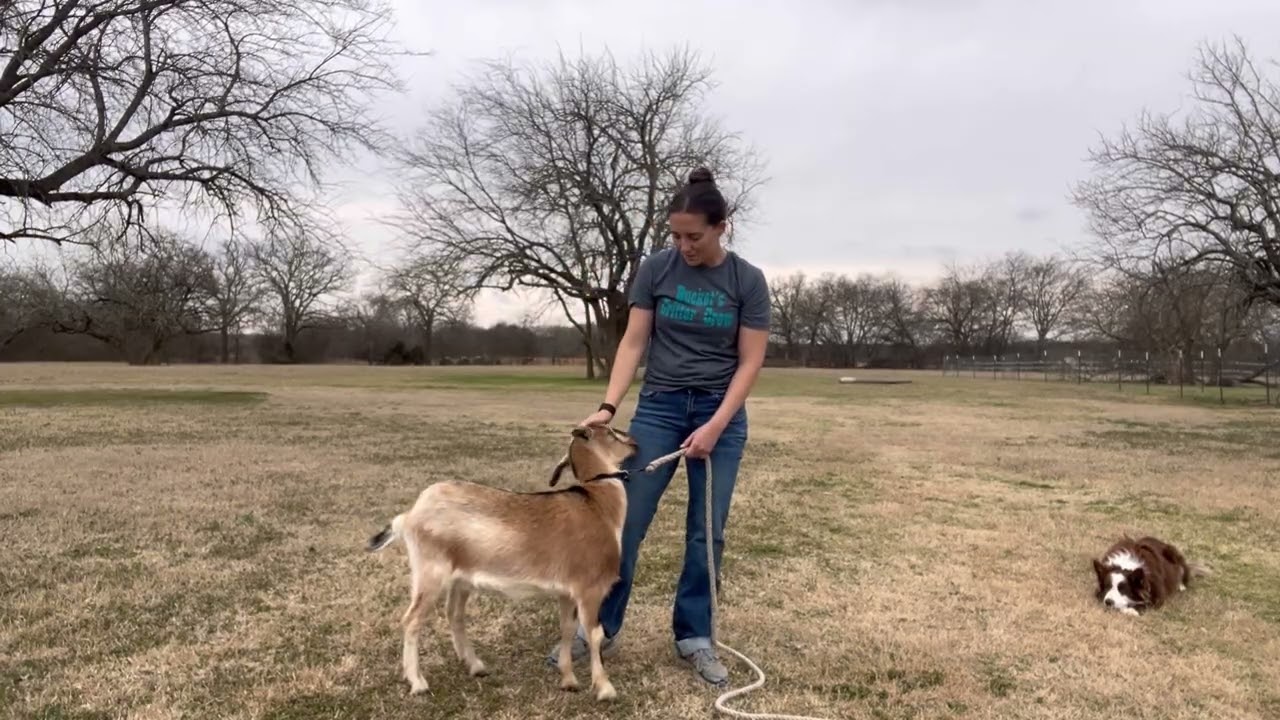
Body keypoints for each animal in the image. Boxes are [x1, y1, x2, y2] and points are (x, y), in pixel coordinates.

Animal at [366, 423, 638, 702]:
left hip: (460, 579)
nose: (635, 445)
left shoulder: (567, 593)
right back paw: (418, 682)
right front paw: (605, 688)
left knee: (454, 614)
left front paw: (569, 681)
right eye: (611, 433)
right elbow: (595, 634)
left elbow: (568, 628)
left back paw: (475, 666)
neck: (597, 506)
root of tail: (410, 515)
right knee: (411, 620)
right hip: (430, 573)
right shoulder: (589, 589)